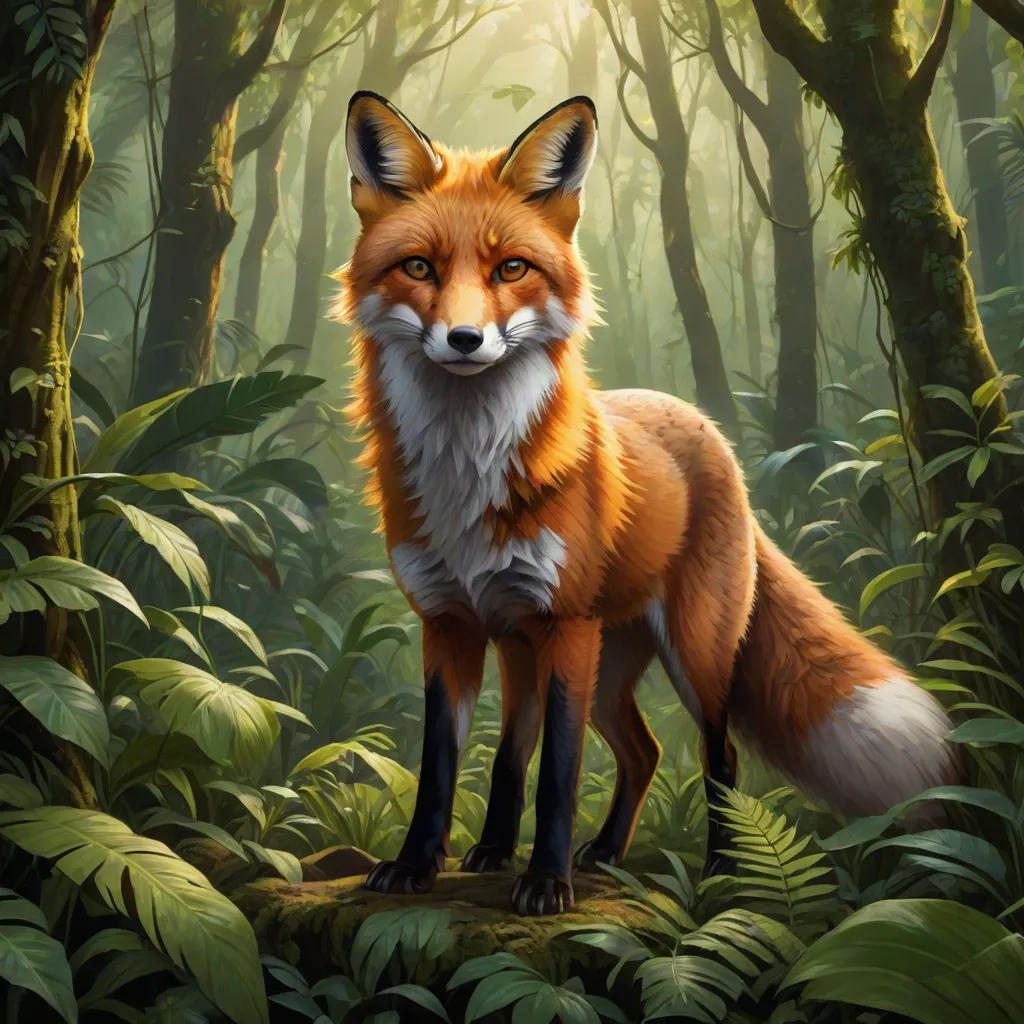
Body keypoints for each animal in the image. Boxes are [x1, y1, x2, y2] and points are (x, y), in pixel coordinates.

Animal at [335, 90, 960, 916]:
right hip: (579, 664)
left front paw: (546, 884)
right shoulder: (452, 626)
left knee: (716, 754)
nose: (465, 339)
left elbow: (558, 774)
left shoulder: (563, 626)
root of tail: (702, 424)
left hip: (688, 652)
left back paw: (720, 868)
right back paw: (578, 851)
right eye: (418, 268)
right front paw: (418, 866)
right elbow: (454, 764)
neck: (470, 468)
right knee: (635, 750)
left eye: (511, 268)